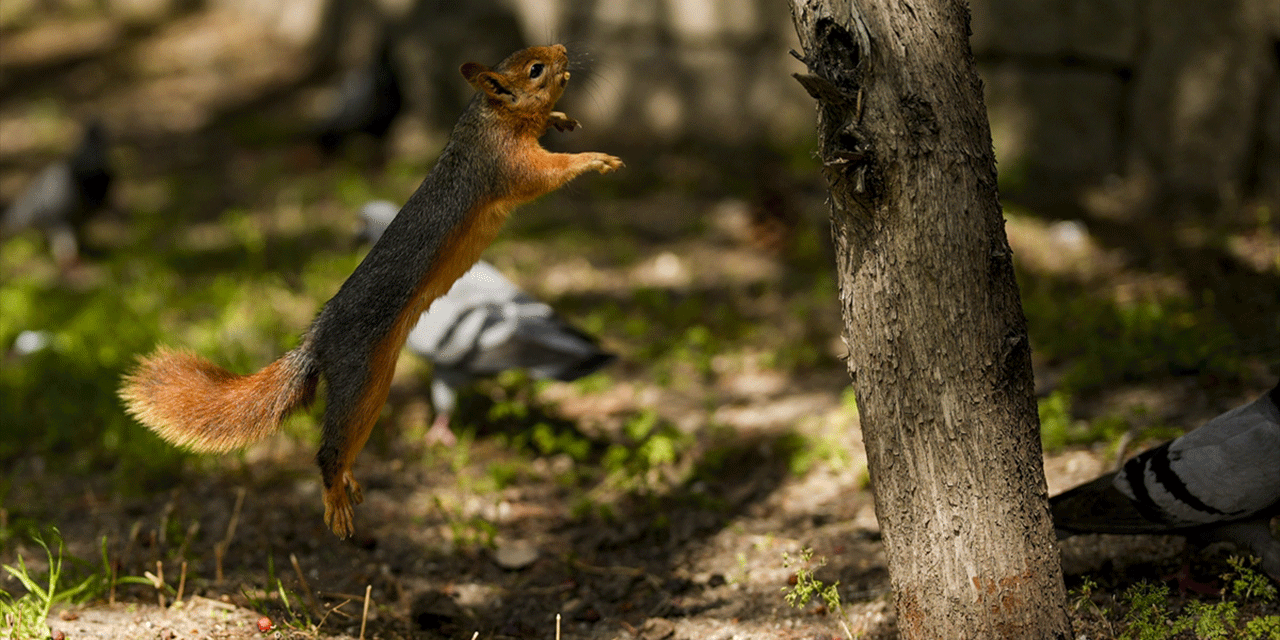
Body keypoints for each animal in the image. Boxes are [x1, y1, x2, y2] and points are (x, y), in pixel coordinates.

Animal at [120, 42, 624, 537]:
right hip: (359, 379)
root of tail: (317, 341)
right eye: (535, 68)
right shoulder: (507, 164)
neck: (488, 118)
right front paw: (593, 159)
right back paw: (333, 496)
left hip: (374, 386)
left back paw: (347, 480)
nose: (562, 49)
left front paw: (562, 119)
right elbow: (545, 174)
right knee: (329, 447)